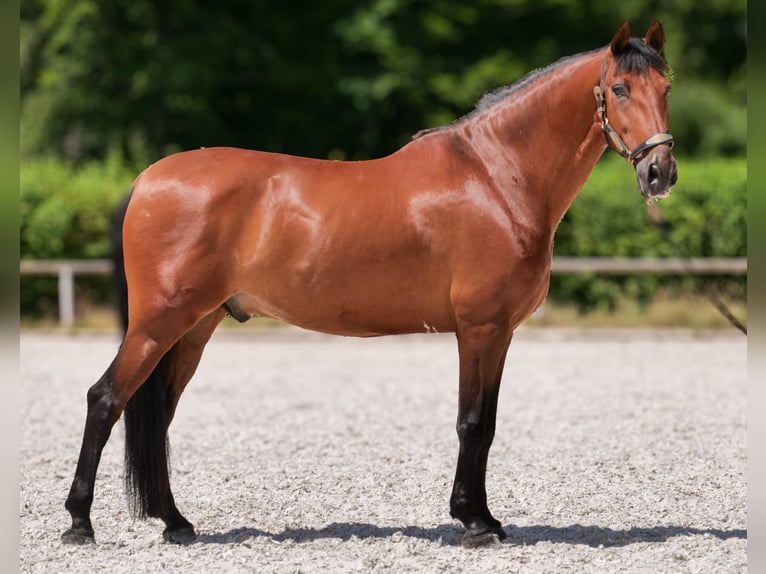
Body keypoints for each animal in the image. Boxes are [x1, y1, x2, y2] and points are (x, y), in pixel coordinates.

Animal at [62, 20, 677, 548]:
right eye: (619, 88)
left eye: (667, 87)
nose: (660, 173)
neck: (494, 176)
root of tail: (146, 179)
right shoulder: (481, 328)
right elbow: (473, 422)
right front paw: (474, 523)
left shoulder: (498, 334)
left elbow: (487, 424)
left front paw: (485, 517)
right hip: (157, 323)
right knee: (105, 399)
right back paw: (79, 524)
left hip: (194, 327)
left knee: (158, 416)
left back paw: (176, 522)